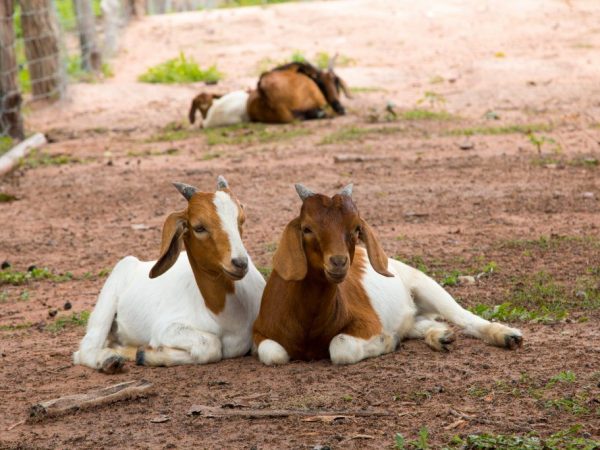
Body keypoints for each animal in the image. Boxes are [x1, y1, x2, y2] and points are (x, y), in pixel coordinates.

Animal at [73, 177, 264, 372]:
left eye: (241, 220)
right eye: (199, 227)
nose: (240, 263)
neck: (224, 317)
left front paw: (144, 353)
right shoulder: (165, 328)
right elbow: (211, 346)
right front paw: (147, 354)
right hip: (108, 299)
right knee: (84, 350)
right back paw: (110, 360)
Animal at [251, 185, 524, 364]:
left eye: (356, 228)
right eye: (307, 228)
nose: (339, 262)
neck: (308, 324)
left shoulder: (368, 323)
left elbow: (340, 348)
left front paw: (387, 342)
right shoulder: (259, 333)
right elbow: (274, 355)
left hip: (425, 284)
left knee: (464, 317)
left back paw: (507, 336)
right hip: (412, 315)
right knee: (421, 323)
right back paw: (440, 336)